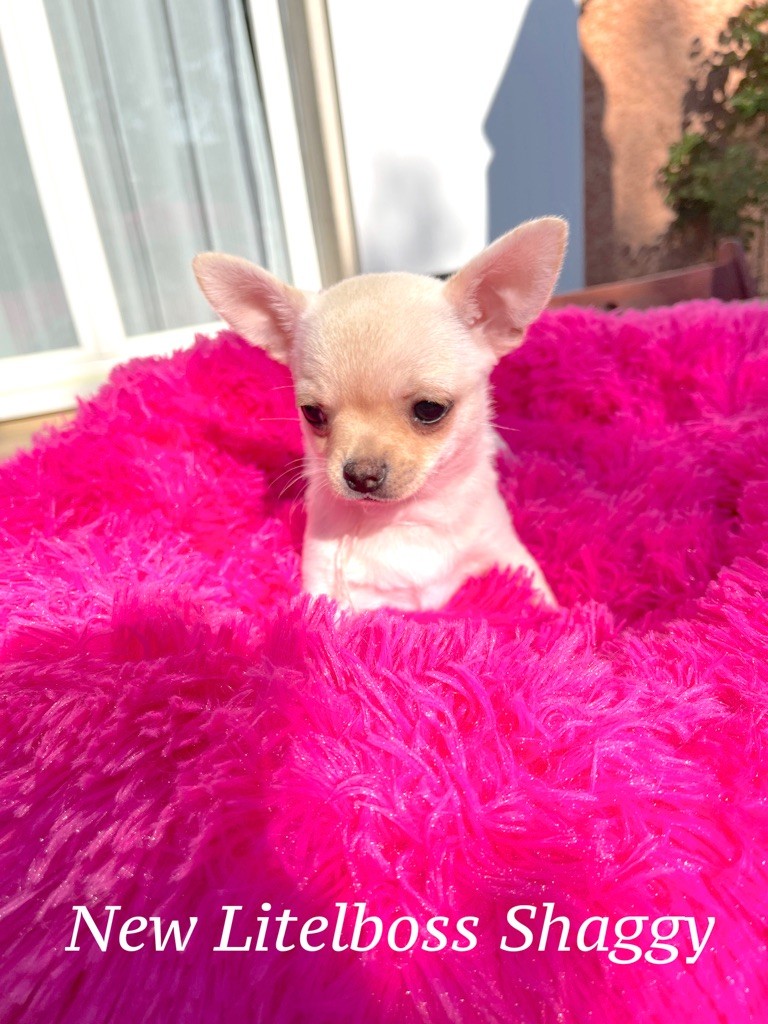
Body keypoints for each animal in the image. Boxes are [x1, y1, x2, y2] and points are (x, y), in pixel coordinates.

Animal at [193, 216, 566, 612]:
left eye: (430, 409)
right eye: (312, 414)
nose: (361, 476)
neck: (404, 519)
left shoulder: (509, 554)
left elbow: (546, 603)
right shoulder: (327, 585)